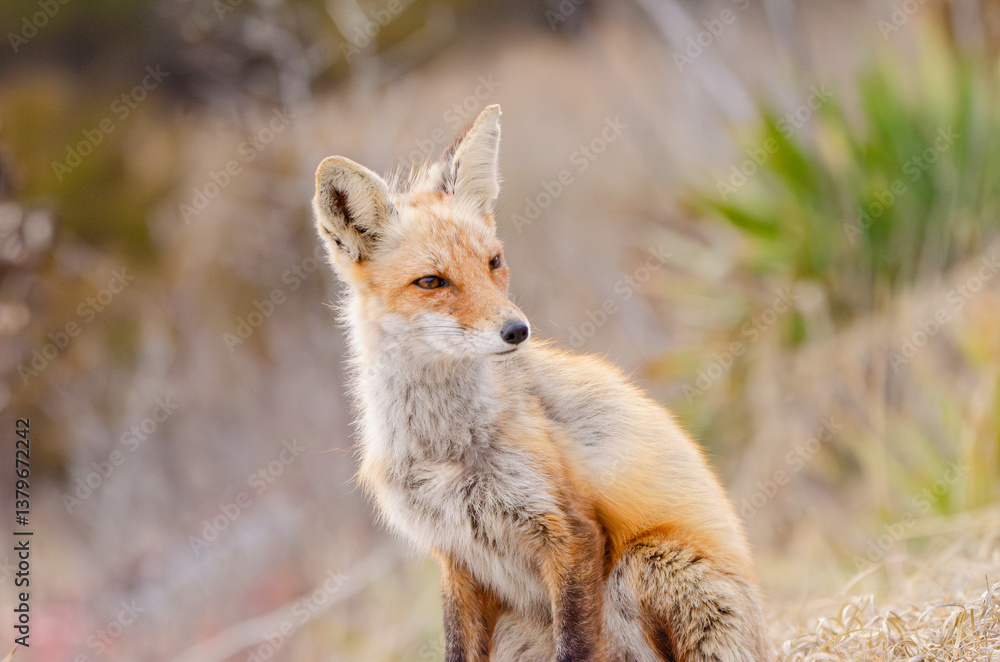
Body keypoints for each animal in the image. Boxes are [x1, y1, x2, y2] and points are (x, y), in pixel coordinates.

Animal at [312, 105, 774, 662]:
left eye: (493, 262)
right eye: (432, 282)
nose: (517, 331)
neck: (446, 451)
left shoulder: (570, 531)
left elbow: (574, 646)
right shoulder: (455, 556)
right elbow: (457, 649)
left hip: (644, 562)